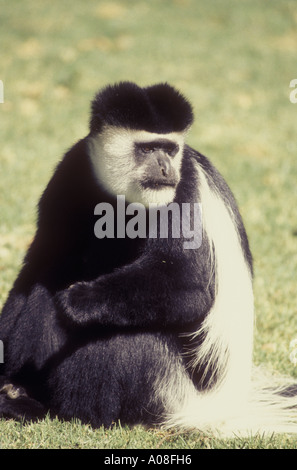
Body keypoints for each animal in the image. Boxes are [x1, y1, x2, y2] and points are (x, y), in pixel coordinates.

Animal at [0, 81, 296, 436]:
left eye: (169, 149)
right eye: (146, 148)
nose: (165, 168)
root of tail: (218, 406)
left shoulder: (182, 190)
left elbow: (188, 287)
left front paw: (79, 301)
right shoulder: (73, 169)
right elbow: (41, 263)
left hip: (170, 387)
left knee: (125, 342)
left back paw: (57, 408)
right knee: (45, 287)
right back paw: (18, 392)